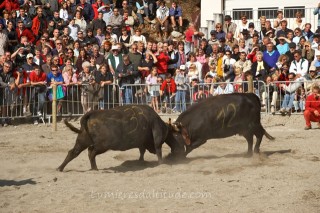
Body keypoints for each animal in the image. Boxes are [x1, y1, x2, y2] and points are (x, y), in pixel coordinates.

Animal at [56, 105, 184, 171]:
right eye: (178, 136)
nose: (181, 149)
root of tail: (91, 114)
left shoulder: (141, 143)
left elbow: (142, 151)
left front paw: (140, 162)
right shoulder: (156, 140)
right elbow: (158, 150)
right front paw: (161, 163)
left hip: (83, 140)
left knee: (74, 152)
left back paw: (61, 168)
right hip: (102, 145)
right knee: (91, 152)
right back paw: (94, 168)